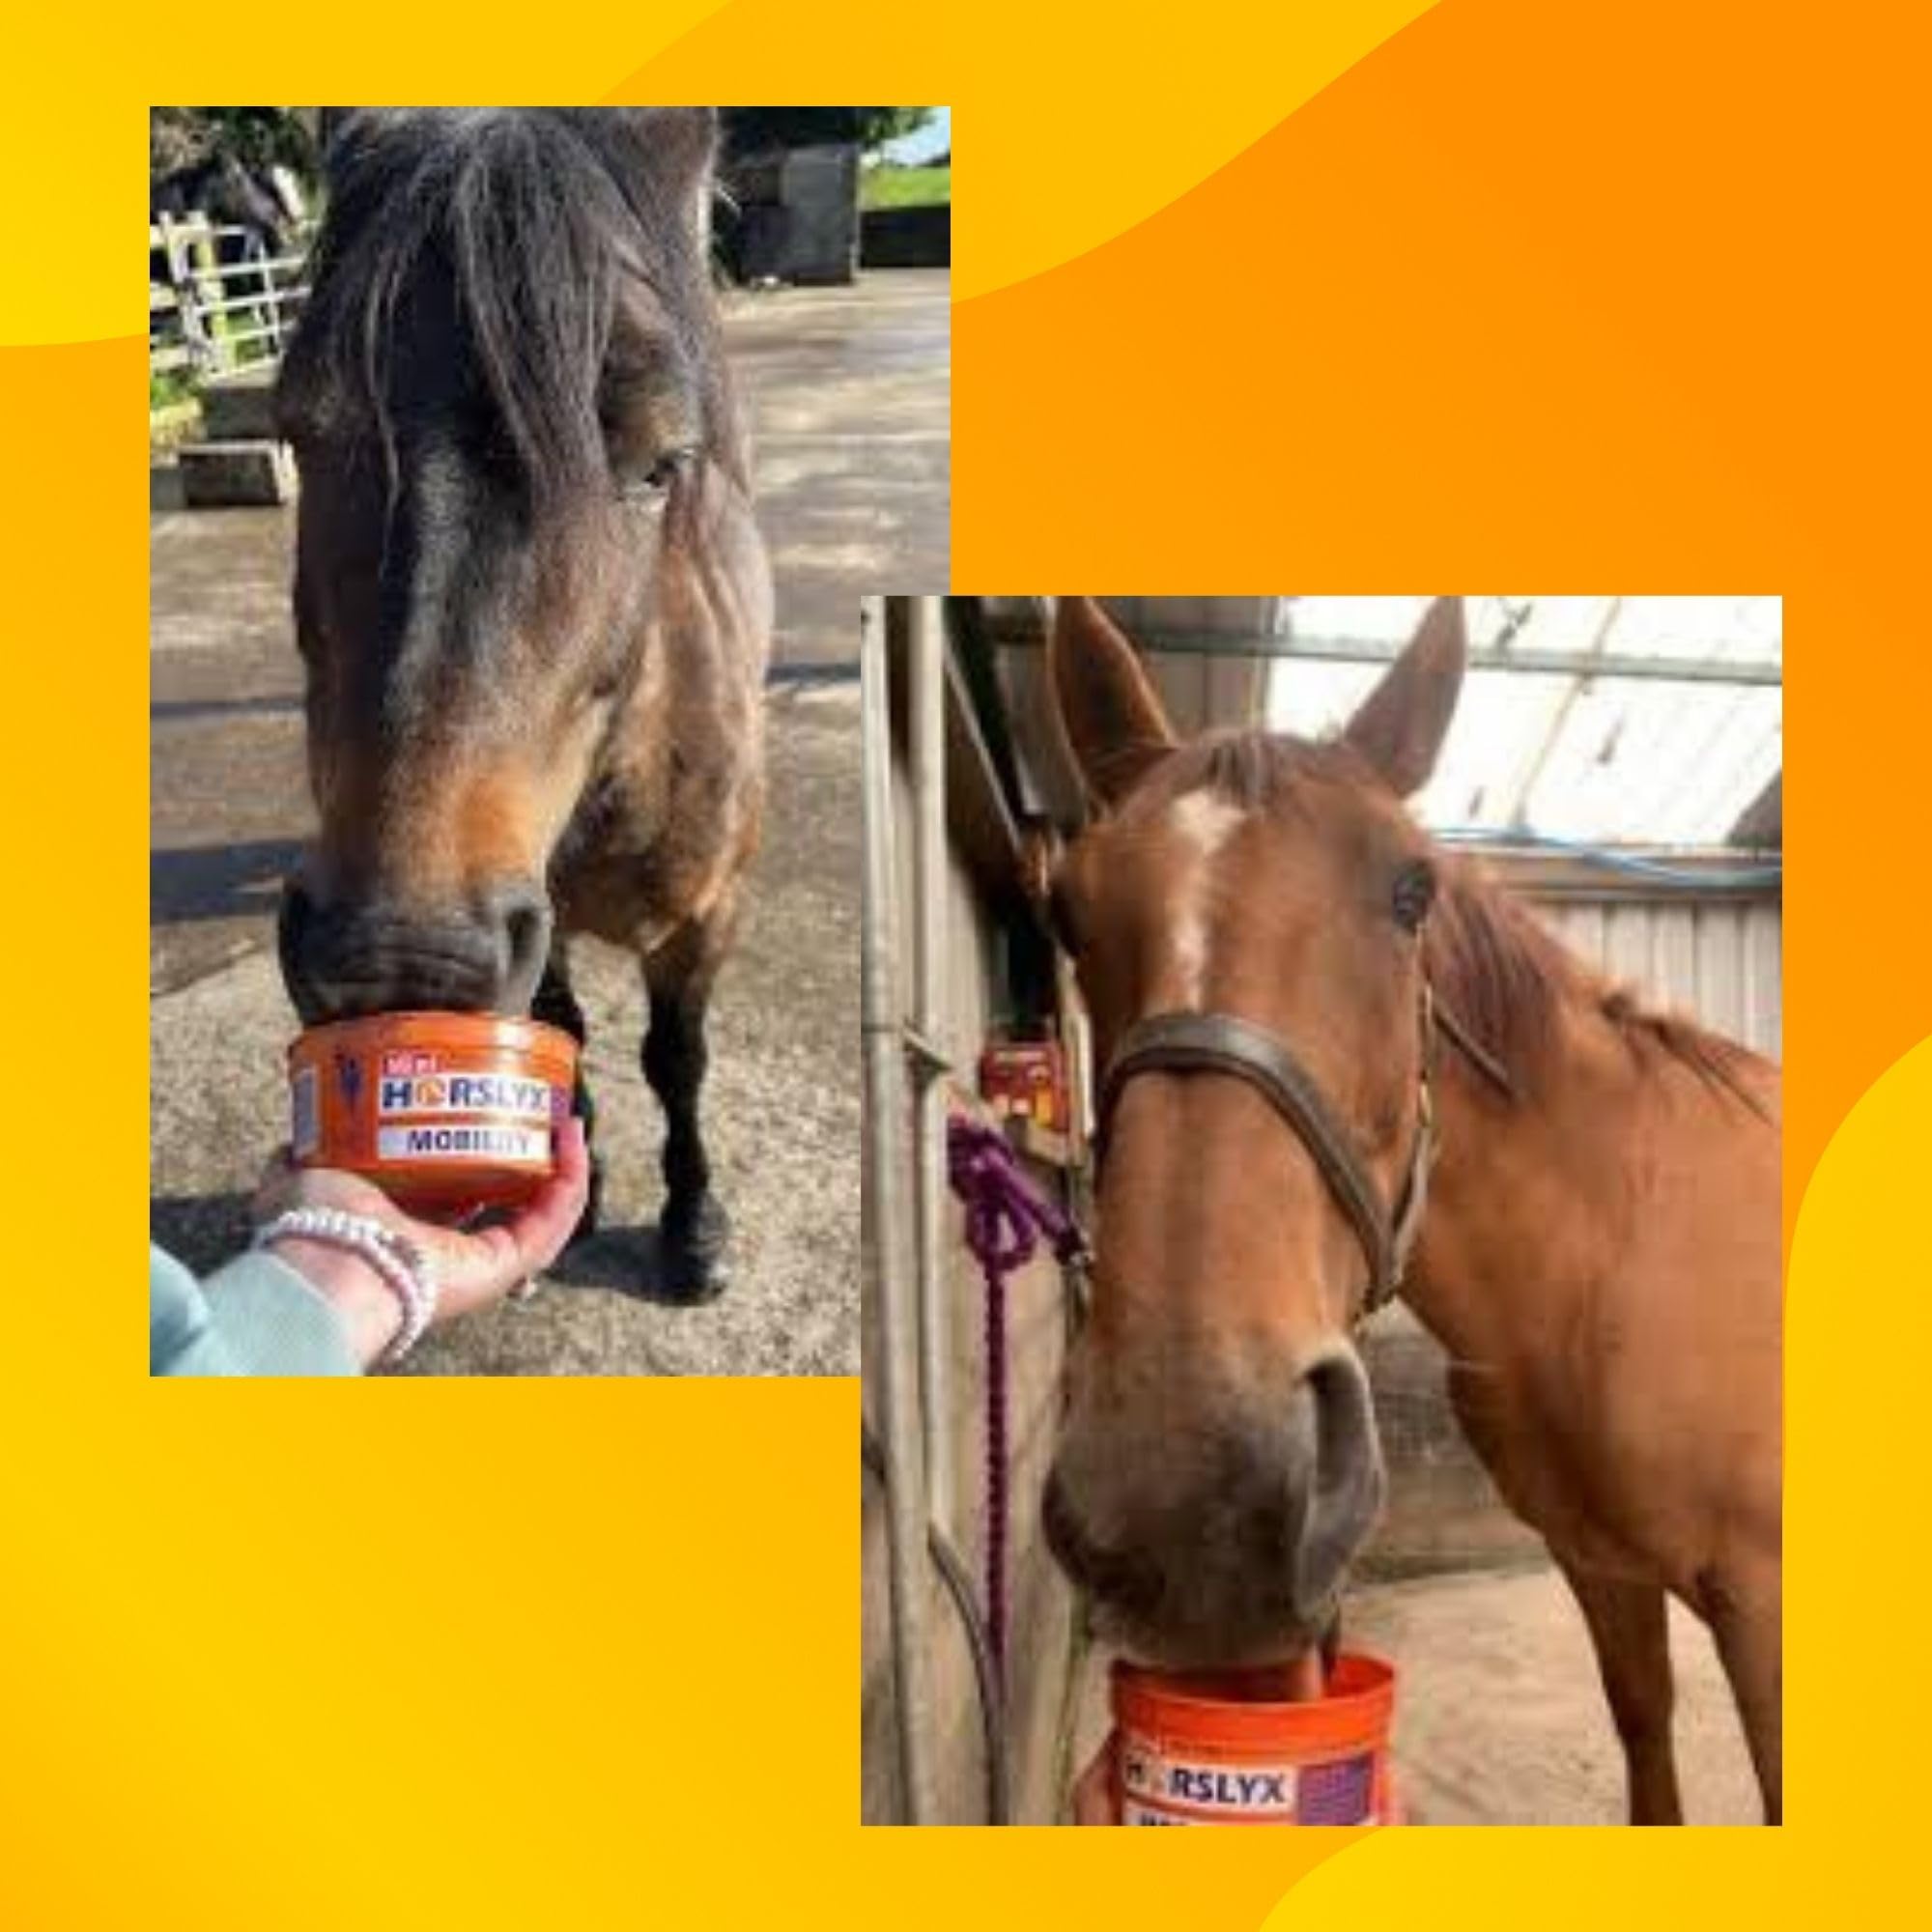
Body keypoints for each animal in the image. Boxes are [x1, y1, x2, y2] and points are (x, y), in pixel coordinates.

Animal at [272, 108, 771, 1301]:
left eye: (661, 461)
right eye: (300, 429)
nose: (399, 955)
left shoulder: (706, 917)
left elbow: (676, 1059)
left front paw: (694, 1229)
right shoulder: (529, 921)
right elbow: (565, 1027)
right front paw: (574, 1190)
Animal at [1040, 596, 1781, 1823]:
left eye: (1410, 890)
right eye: (1065, 912)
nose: (1188, 1489)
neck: (1616, 1248)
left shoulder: (1763, 1603)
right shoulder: (1602, 1567)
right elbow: (1645, 1739)